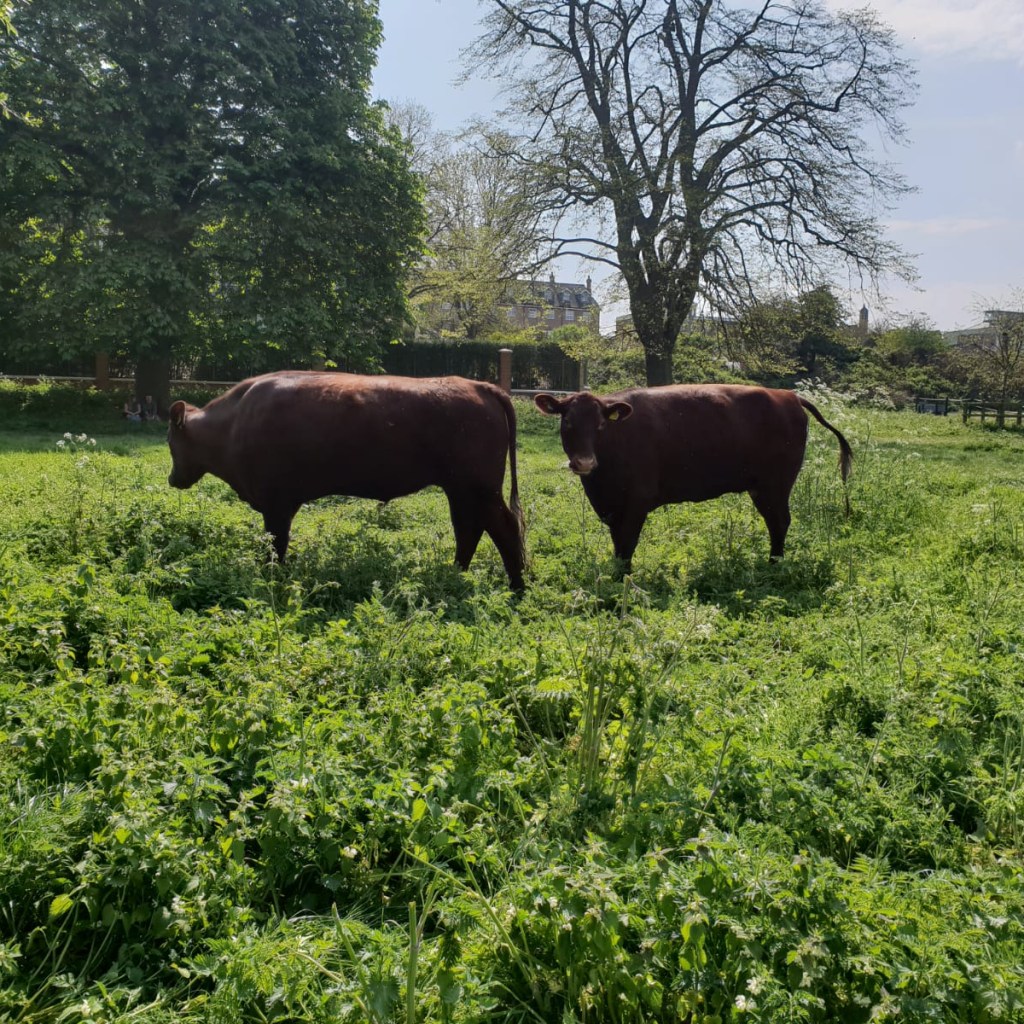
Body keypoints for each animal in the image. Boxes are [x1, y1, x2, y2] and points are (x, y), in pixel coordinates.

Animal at [167, 371, 525, 589]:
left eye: (171, 441)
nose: (173, 479)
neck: (234, 424)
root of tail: (480, 387)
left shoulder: (276, 505)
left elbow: (275, 546)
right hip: (461, 490)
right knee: (468, 529)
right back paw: (454, 574)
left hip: (479, 489)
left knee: (503, 527)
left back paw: (517, 587)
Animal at [534, 384, 852, 569]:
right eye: (567, 422)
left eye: (601, 425)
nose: (584, 461)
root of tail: (789, 395)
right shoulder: (612, 507)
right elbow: (618, 546)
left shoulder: (637, 501)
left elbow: (627, 545)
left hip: (775, 485)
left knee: (780, 522)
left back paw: (774, 564)